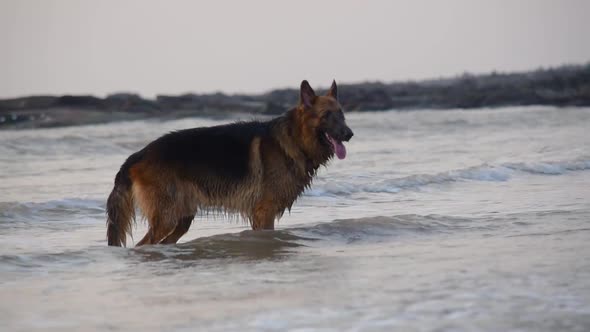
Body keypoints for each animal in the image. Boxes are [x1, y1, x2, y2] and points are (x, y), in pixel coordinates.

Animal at [107, 80, 354, 246]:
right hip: (166, 218)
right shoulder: (264, 212)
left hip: (181, 218)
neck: (293, 138)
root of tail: (139, 154)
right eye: (327, 115)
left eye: (342, 115)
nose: (350, 134)